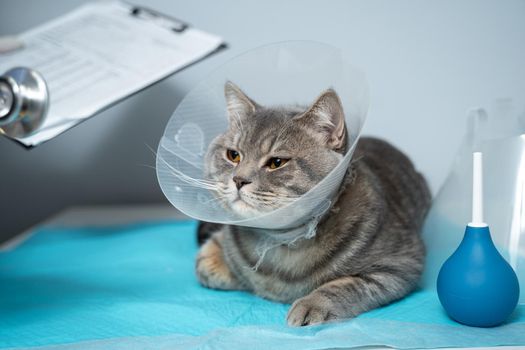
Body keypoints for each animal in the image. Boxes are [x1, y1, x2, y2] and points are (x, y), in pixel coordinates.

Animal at [194, 81, 428, 326]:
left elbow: (346, 285)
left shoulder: (401, 265)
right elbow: (210, 261)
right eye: (233, 155)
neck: (282, 241)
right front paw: (220, 260)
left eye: (277, 162)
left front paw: (313, 304)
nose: (238, 180)